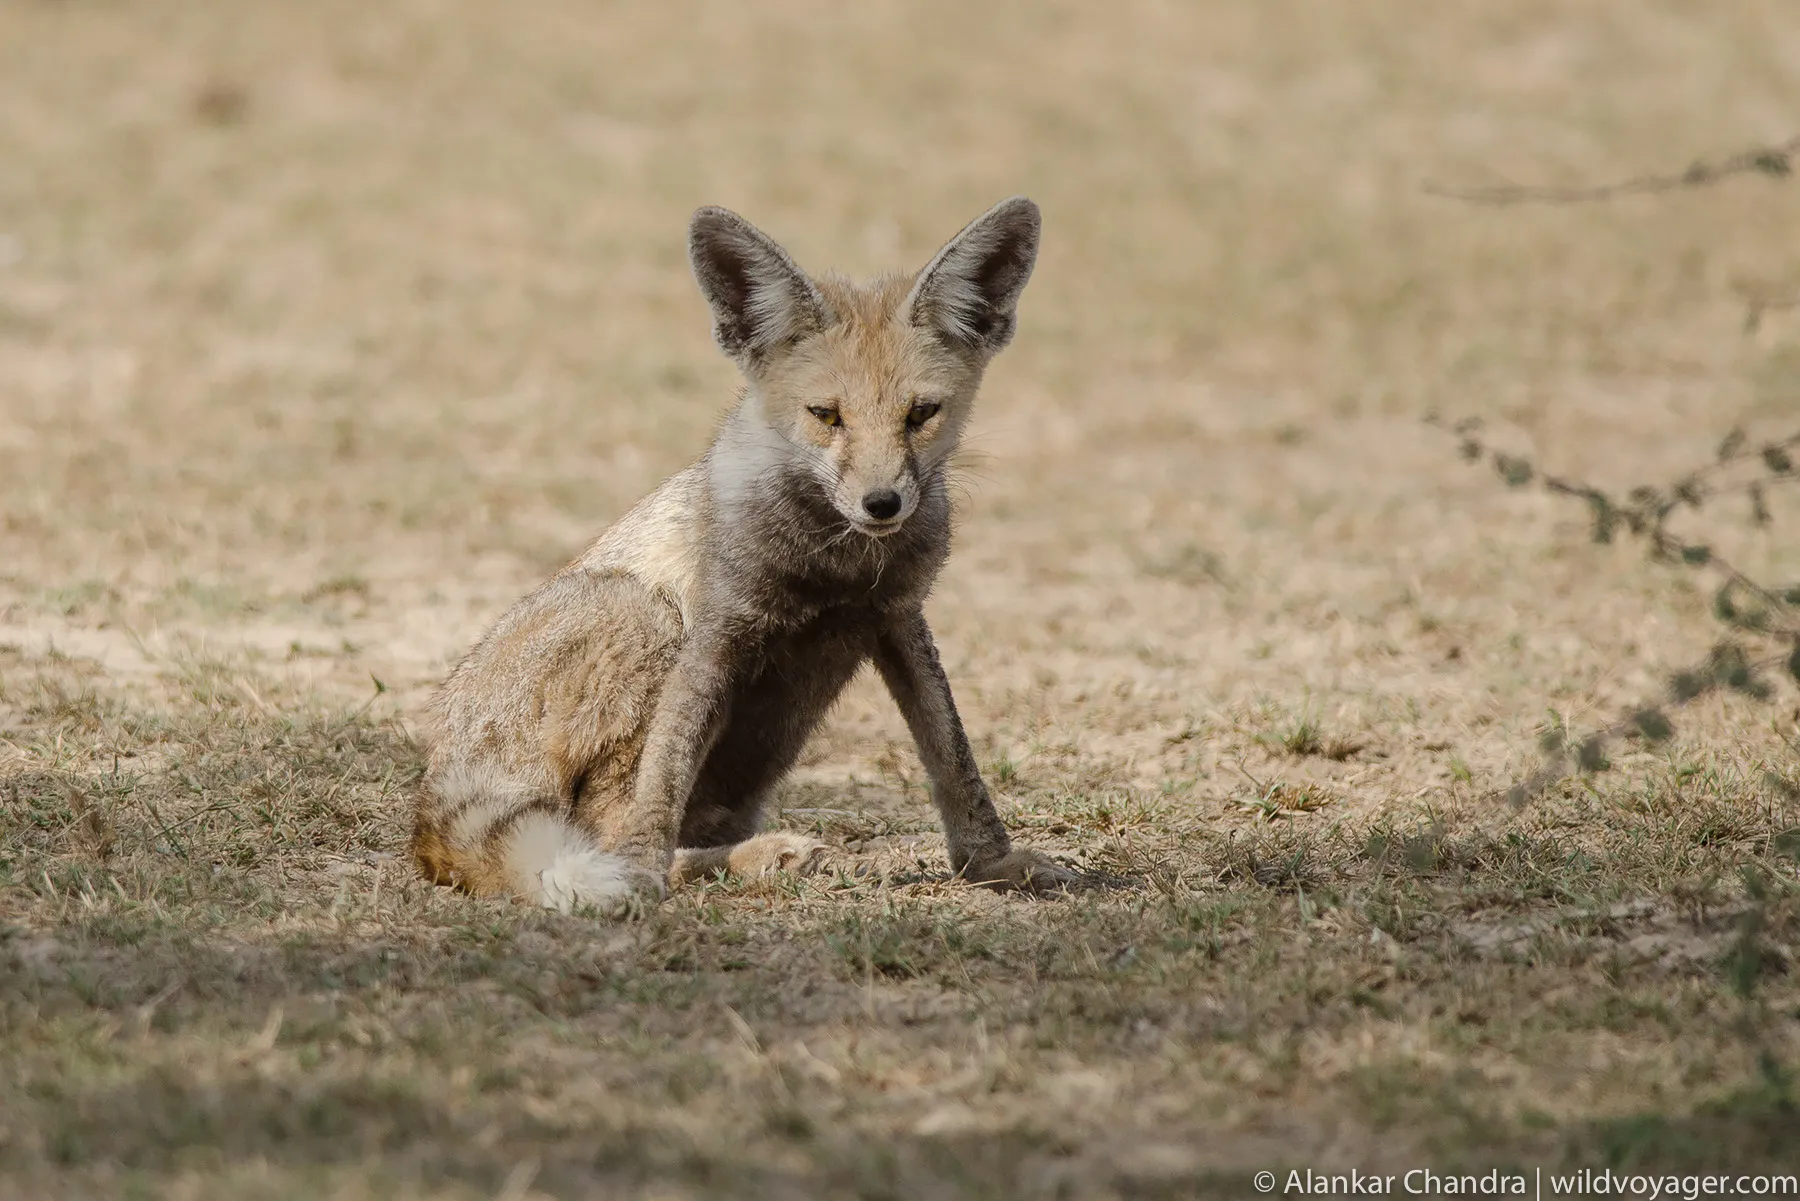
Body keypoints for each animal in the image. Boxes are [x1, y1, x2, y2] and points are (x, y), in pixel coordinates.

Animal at [411, 196, 1077, 914]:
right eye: (827, 415)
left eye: (921, 413)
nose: (882, 503)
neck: (831, 570)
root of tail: (429, 819)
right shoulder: (717, 632)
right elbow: (657, 793)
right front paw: (639, 874)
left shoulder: (898, 616)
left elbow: (955, 757)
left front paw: (993, 862)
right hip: (646, 615)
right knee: (607, 827)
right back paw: (754, 858)